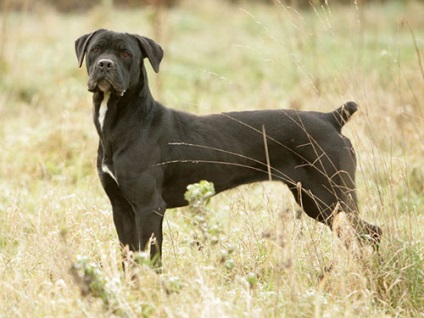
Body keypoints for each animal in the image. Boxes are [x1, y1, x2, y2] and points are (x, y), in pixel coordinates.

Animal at [74, 29, 382, 266]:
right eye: (96, 49)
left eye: (126, 53)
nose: (105, 65)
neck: (123, 123)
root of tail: (331, 118)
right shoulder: (121, 207)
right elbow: (130, 261)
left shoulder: (149, 207)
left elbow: (151, 260)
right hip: (316, 200)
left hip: (331, 196)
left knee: (370, 233)